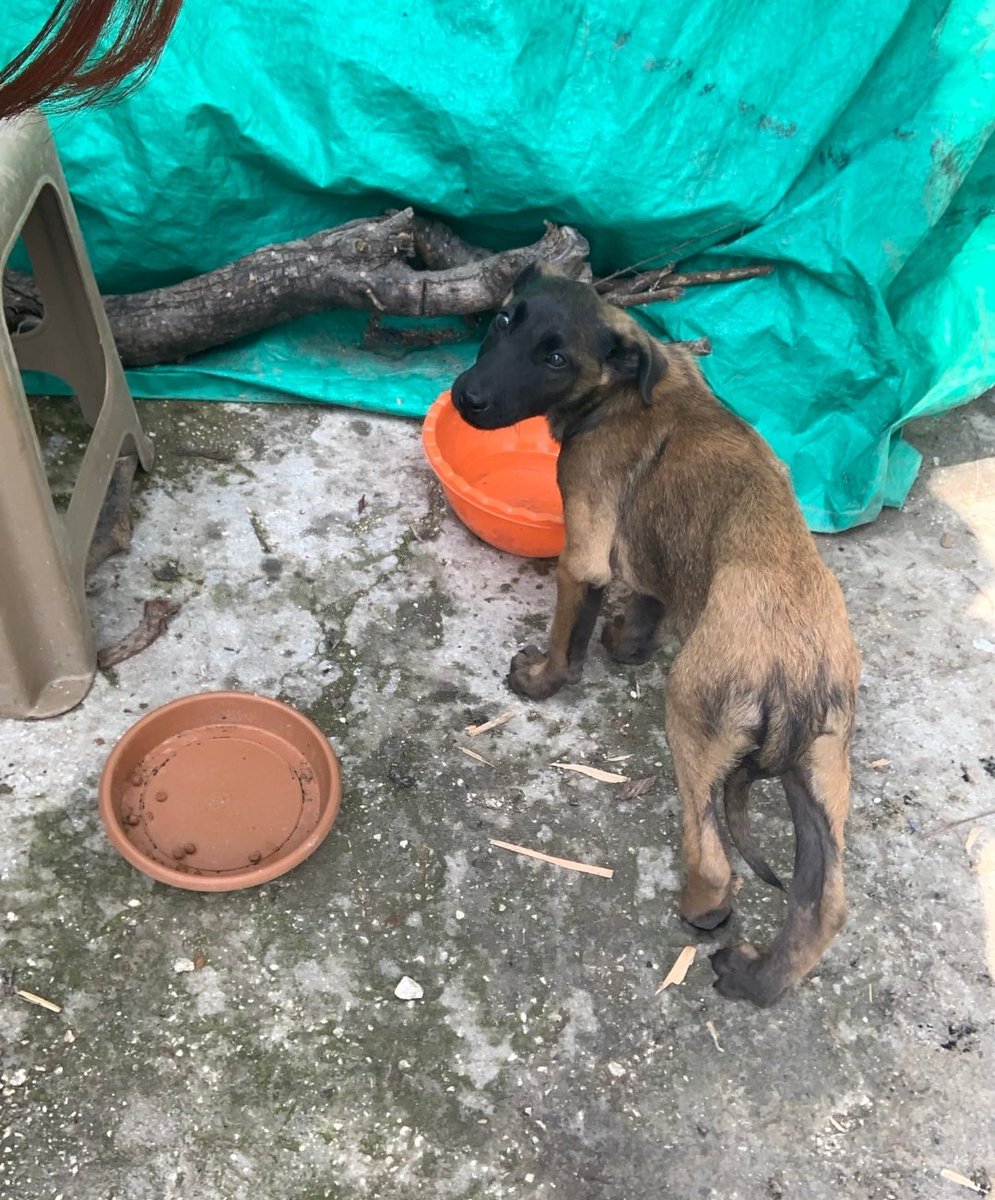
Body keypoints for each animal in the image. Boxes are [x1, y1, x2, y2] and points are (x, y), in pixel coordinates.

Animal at [451, 262, 864, 1003]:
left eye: (555, 357)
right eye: (502, 320)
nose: (465, 396)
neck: (626, 389)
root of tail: (795, 667)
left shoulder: (584, 540)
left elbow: (570, 630)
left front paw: (541, 679)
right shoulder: (643, 550)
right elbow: (645, 599)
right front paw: (625, 645)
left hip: (695, 719)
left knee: (713, 859)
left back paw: (704, 916)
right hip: (820, 768)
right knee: (822, 901)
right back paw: (755, 980)